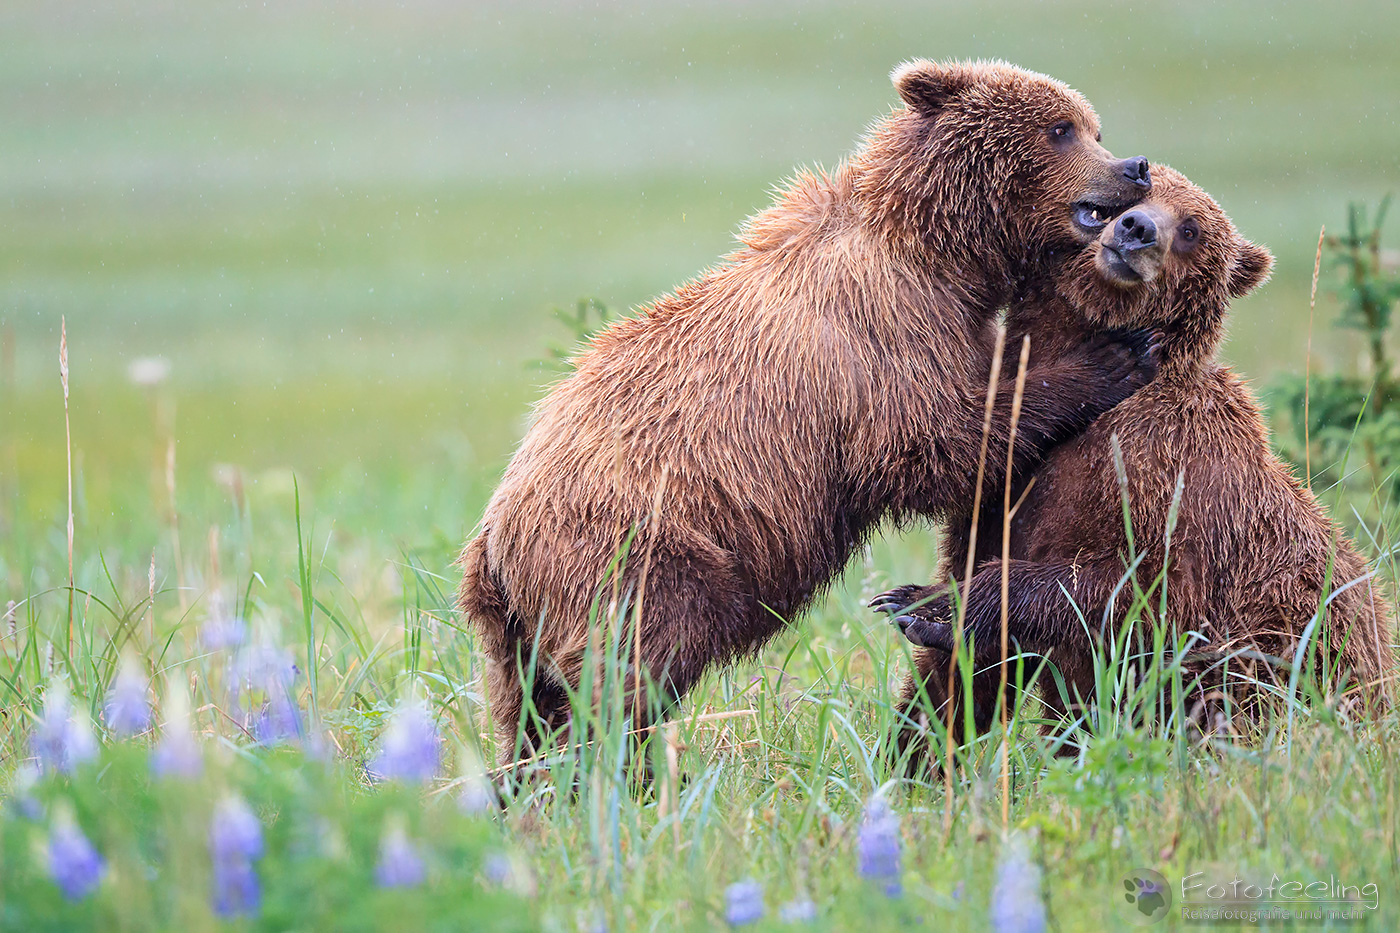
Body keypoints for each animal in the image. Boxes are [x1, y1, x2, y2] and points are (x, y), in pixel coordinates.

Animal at [459, 59, 1159, 766]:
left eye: (1093, 127)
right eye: (1061, 129)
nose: (1134, 167)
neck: (945, 256)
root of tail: (491, 544)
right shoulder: (884, 328)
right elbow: (934, 438)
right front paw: (1113, 357)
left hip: (516, 633)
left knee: (530, 708)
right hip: (638, 555)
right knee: (627, 675)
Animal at [874, 165, 1397, 762]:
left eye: (1191, 228)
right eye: (1124, 202)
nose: (1138, 228)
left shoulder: (1159, 469)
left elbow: (1144, 589)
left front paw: (943, 605)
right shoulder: (1006, 478)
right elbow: (958, 677)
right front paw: (913, 737)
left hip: (1295, 664)